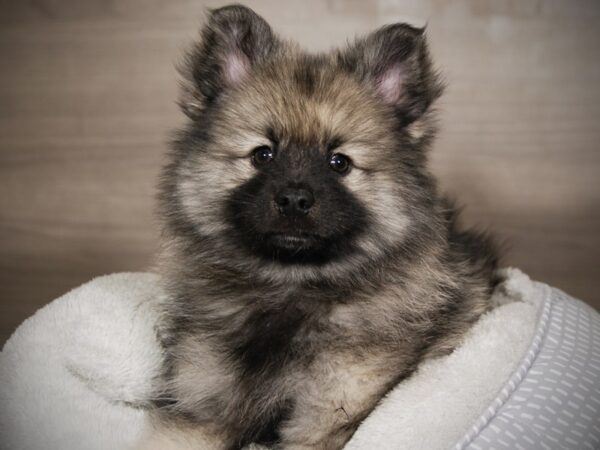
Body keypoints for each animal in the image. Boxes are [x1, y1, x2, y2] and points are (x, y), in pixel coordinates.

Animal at [143, 4, 500, 450]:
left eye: (339, 162)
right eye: (262, 154)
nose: (295, 200)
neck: (289, 285)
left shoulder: (330, 414)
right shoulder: (198, 406)